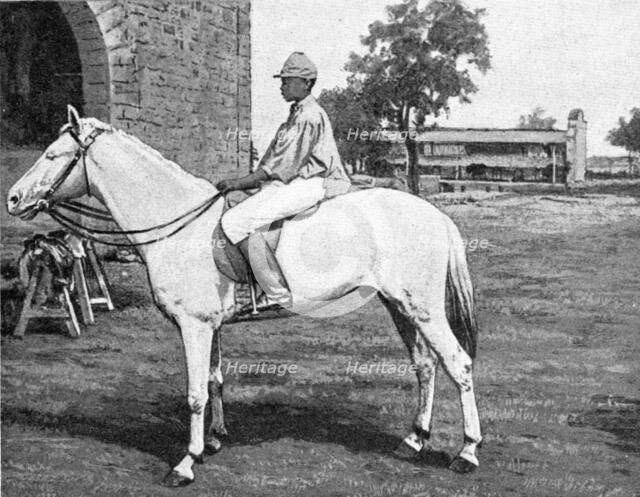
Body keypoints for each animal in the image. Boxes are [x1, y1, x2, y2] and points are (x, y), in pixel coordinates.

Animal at [7, 106, 482, 487]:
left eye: (53, 155)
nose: (12, 198)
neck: (180, 226)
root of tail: (435, 214)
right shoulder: (211, 326)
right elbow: (215, 380)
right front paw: (214, 440)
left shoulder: (194, 326)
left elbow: (195, 393)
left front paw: (186, 463)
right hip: (400, 306)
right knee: (425, 365)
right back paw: (413, 440)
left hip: (422, 309)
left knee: (458, 364)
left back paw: (466, 452)